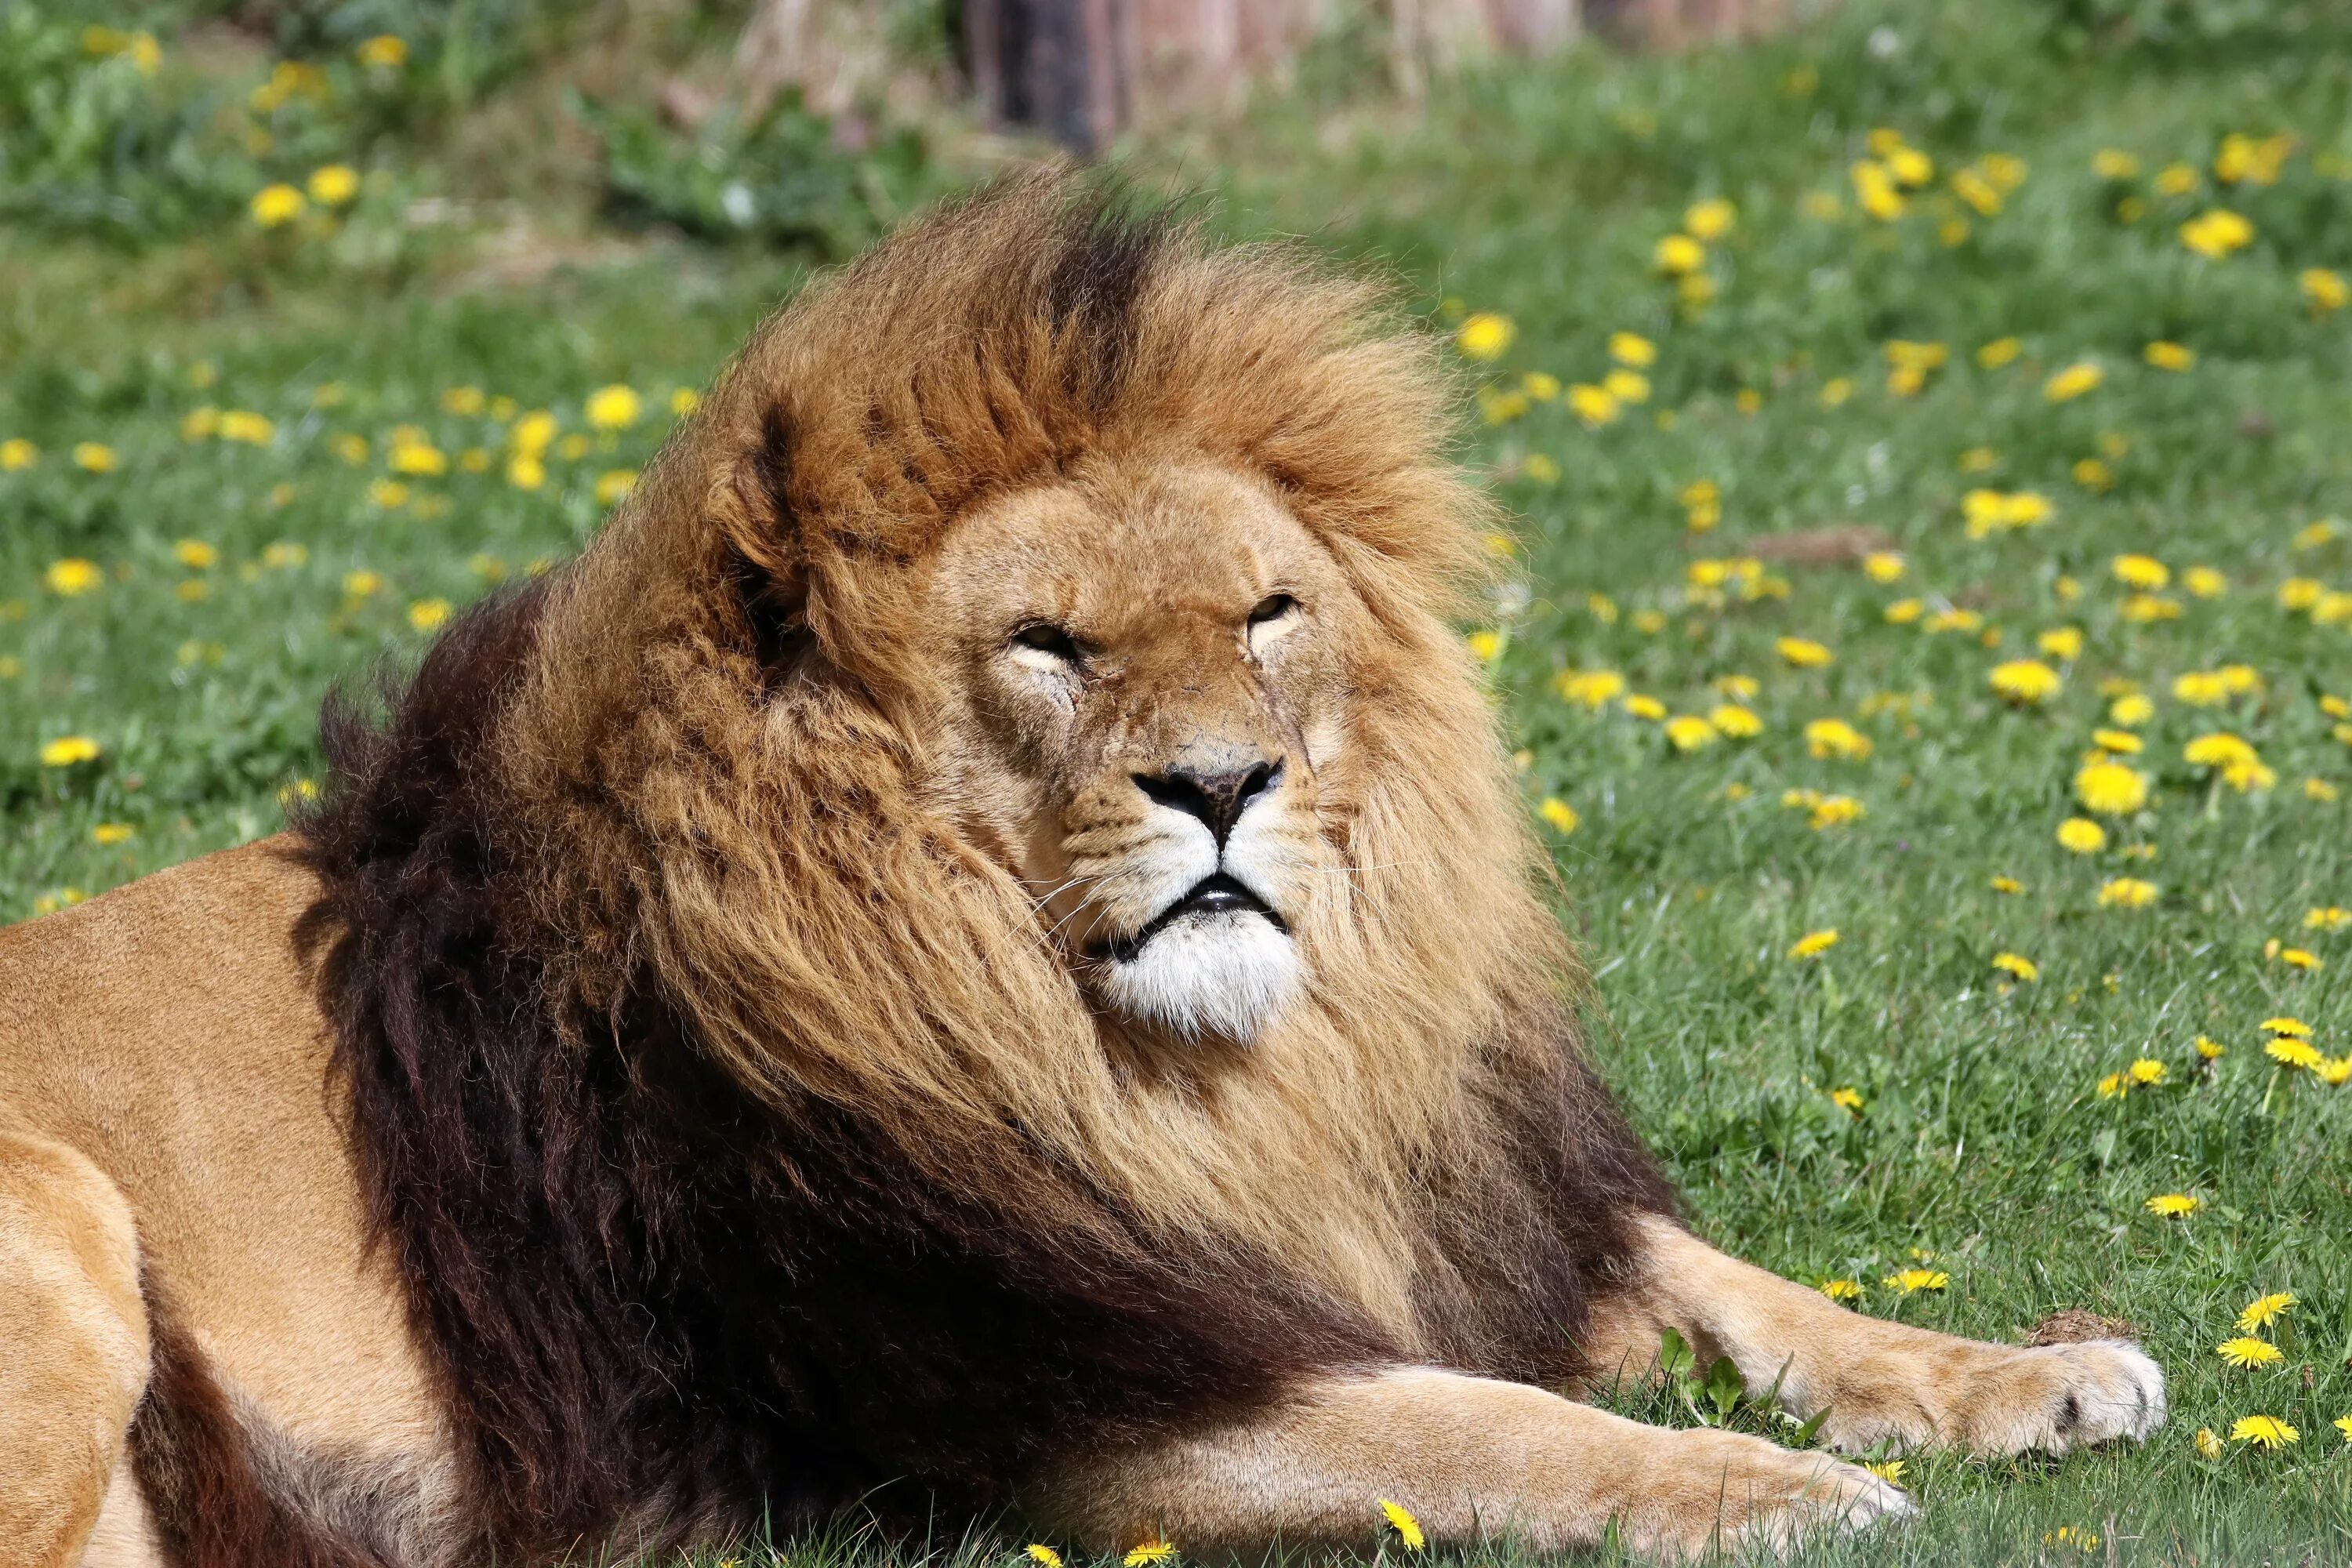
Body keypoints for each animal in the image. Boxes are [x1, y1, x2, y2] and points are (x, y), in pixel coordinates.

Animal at [4, 177, 2164, 1561]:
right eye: (1048, 645)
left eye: (1268, 611)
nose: (1222, 783)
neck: (1182, 1077)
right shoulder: (1065, 1397)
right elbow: (1490, 1419)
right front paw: (1768, 1491)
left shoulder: (1399, 1204)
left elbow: (1728, 1284)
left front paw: (2027, 1376)